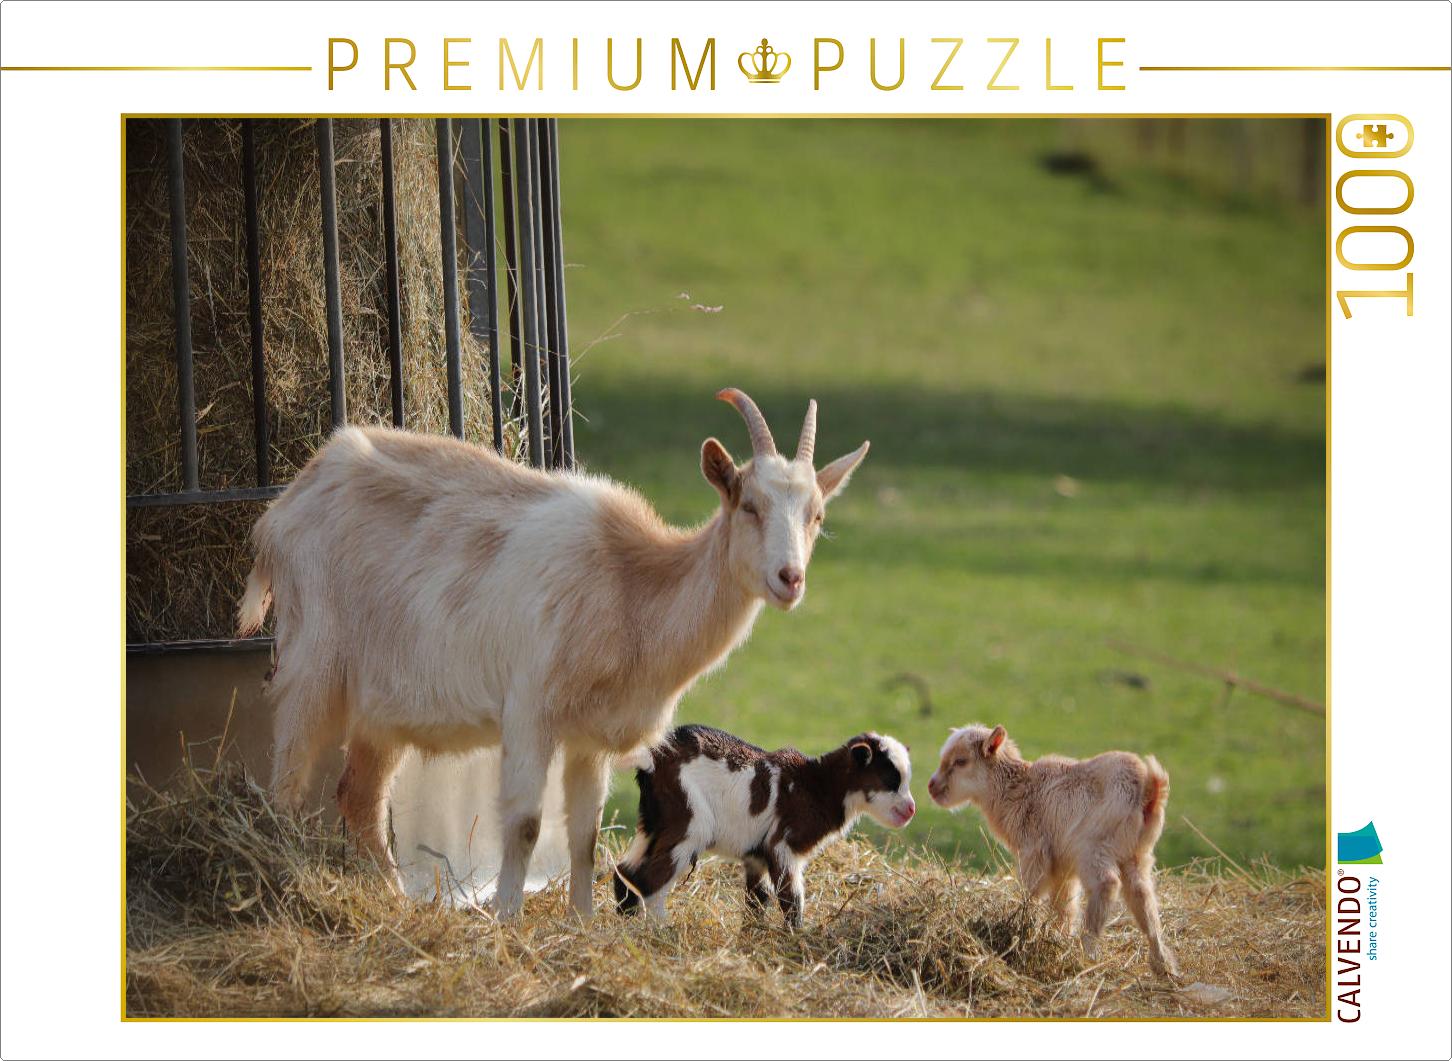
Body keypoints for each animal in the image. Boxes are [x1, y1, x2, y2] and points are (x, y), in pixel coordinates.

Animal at [236, 389, 869, 919]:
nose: (790, 579)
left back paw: (396, 901)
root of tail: (283, 508)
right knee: (286, 784)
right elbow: (524, 823)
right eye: (749, 505)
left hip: (382, 704)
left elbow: (583, 833)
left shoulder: (589, 735)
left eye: (817, 515)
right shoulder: (530, 710)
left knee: (360, 797)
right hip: (313, 661)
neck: (630, 585)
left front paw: (583, 925)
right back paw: (281, 883)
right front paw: (507, 920)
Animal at [613, 725, 915, 926]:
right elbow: (791, 900)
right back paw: (661, 932)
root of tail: (652, 759)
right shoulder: (782, 844)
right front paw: (796, 939)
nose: (911, 809)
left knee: (625, 873)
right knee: (650, 883)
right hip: (689, 822)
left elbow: (757, 901)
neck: (816, 786)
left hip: (654, 822)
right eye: (891, 780)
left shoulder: (755, 856)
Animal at [927, 724, 1178, 976]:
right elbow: (1064, 905)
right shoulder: (1062, 865)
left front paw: (1021, 926)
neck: (1016, 790)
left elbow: (1031, 892)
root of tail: (1148, 791)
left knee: (1106, 884)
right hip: (1136, 854)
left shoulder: (1034, 851)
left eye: (961, 761)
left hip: (1093, 845)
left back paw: (1086, 952)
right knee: (1143, 898)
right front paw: (1057, 937)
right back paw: (1163, 965)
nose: (931, 786)